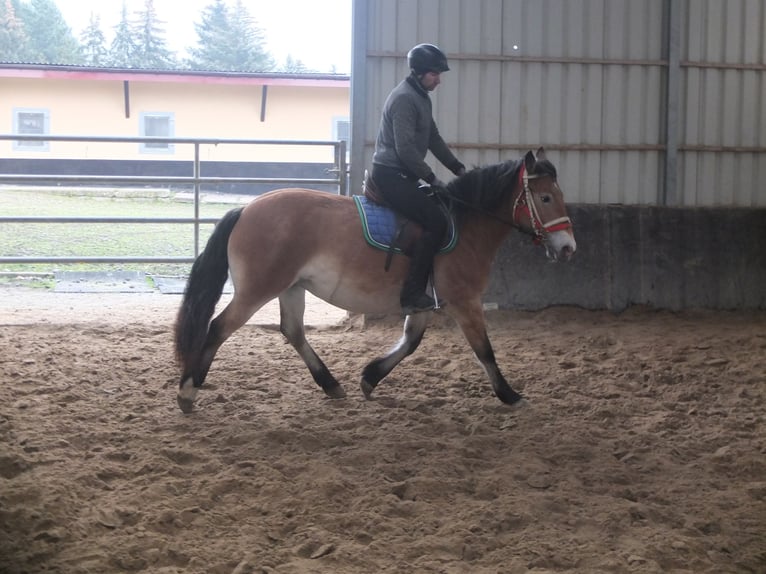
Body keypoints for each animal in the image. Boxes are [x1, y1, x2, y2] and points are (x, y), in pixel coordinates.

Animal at [176, 148, 576, 414]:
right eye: (545, 197)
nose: (568, 247)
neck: (465, 225)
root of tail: (246, 209)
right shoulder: (465, 301)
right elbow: (484, 350)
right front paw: (510, 394)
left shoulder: (424, 303)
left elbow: (410, 343)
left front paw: (370, 377)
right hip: (259, 288)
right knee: (218, 327)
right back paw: (187, 391)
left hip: (291, 287)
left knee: (292, 331)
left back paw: (331, 385)